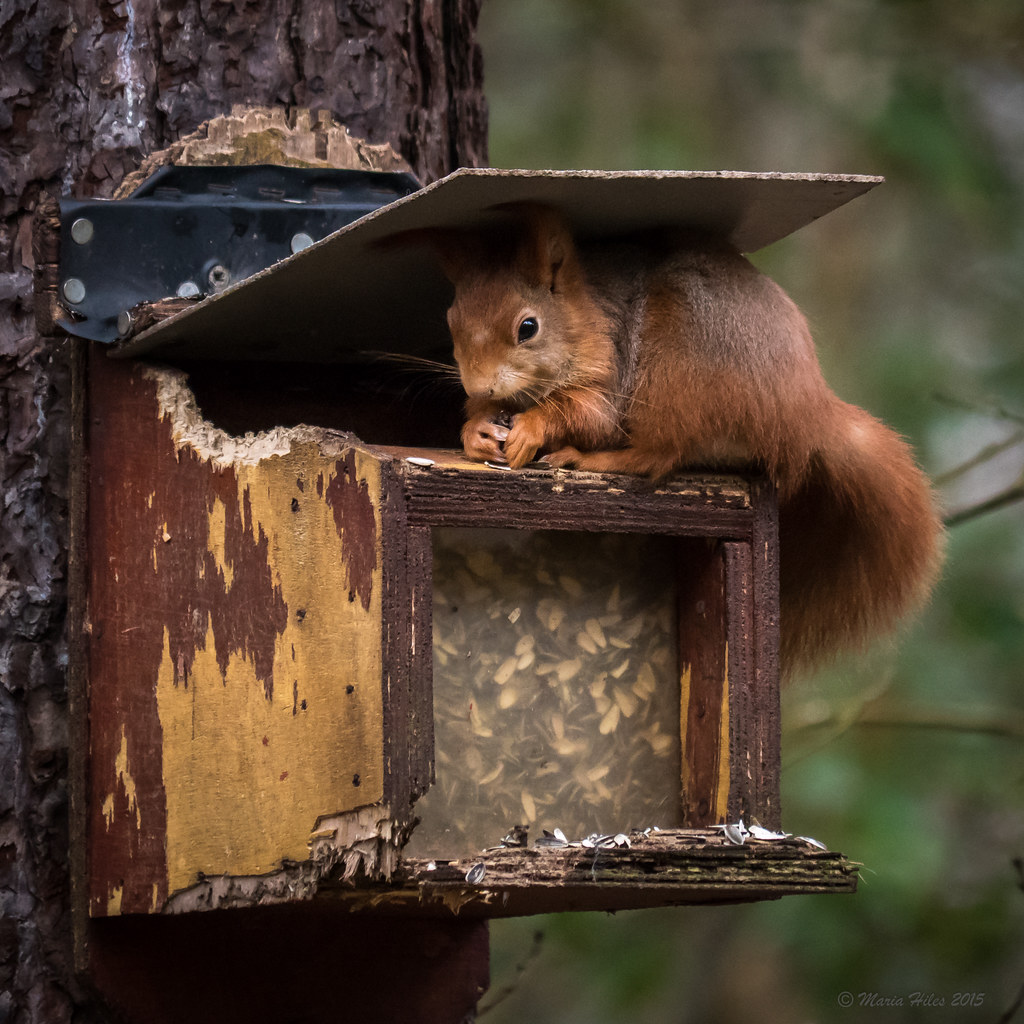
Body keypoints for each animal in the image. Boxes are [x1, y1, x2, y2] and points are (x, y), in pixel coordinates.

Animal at [414, 204, 943, 672]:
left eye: (528, 327)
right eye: (450, 321)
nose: (480, 386)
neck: (582, 312)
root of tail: (805, 413)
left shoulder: (609, 366)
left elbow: (590, 414)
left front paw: (531, 428)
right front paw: (479, 430)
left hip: (677, 368)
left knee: (659, 453)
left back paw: (590, 460)